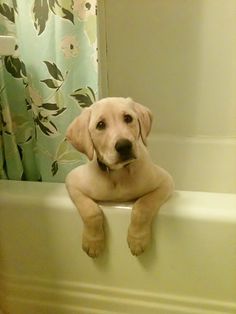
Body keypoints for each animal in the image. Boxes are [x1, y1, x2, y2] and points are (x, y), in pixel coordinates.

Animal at [64, 97, 173, 258]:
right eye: (100, 125)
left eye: (128, 118)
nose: (124, 146)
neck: (119, 173)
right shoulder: (72, 181)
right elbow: (91, 211)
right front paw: (93, 242)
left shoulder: (166, 181)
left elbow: (143, 206)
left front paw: (137, 239)